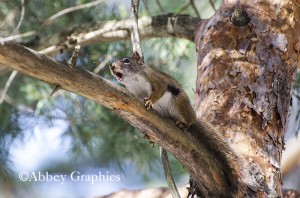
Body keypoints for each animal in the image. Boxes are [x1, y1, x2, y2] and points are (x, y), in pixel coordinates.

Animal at [109, 51, 245, 197]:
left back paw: (183, 123)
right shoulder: (135, 93)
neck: (134, 80)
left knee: (189, 120)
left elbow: (159, 90)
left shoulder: (156, 80)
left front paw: (150, 101)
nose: (111, 66)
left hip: (179, 103)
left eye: (126, 60)